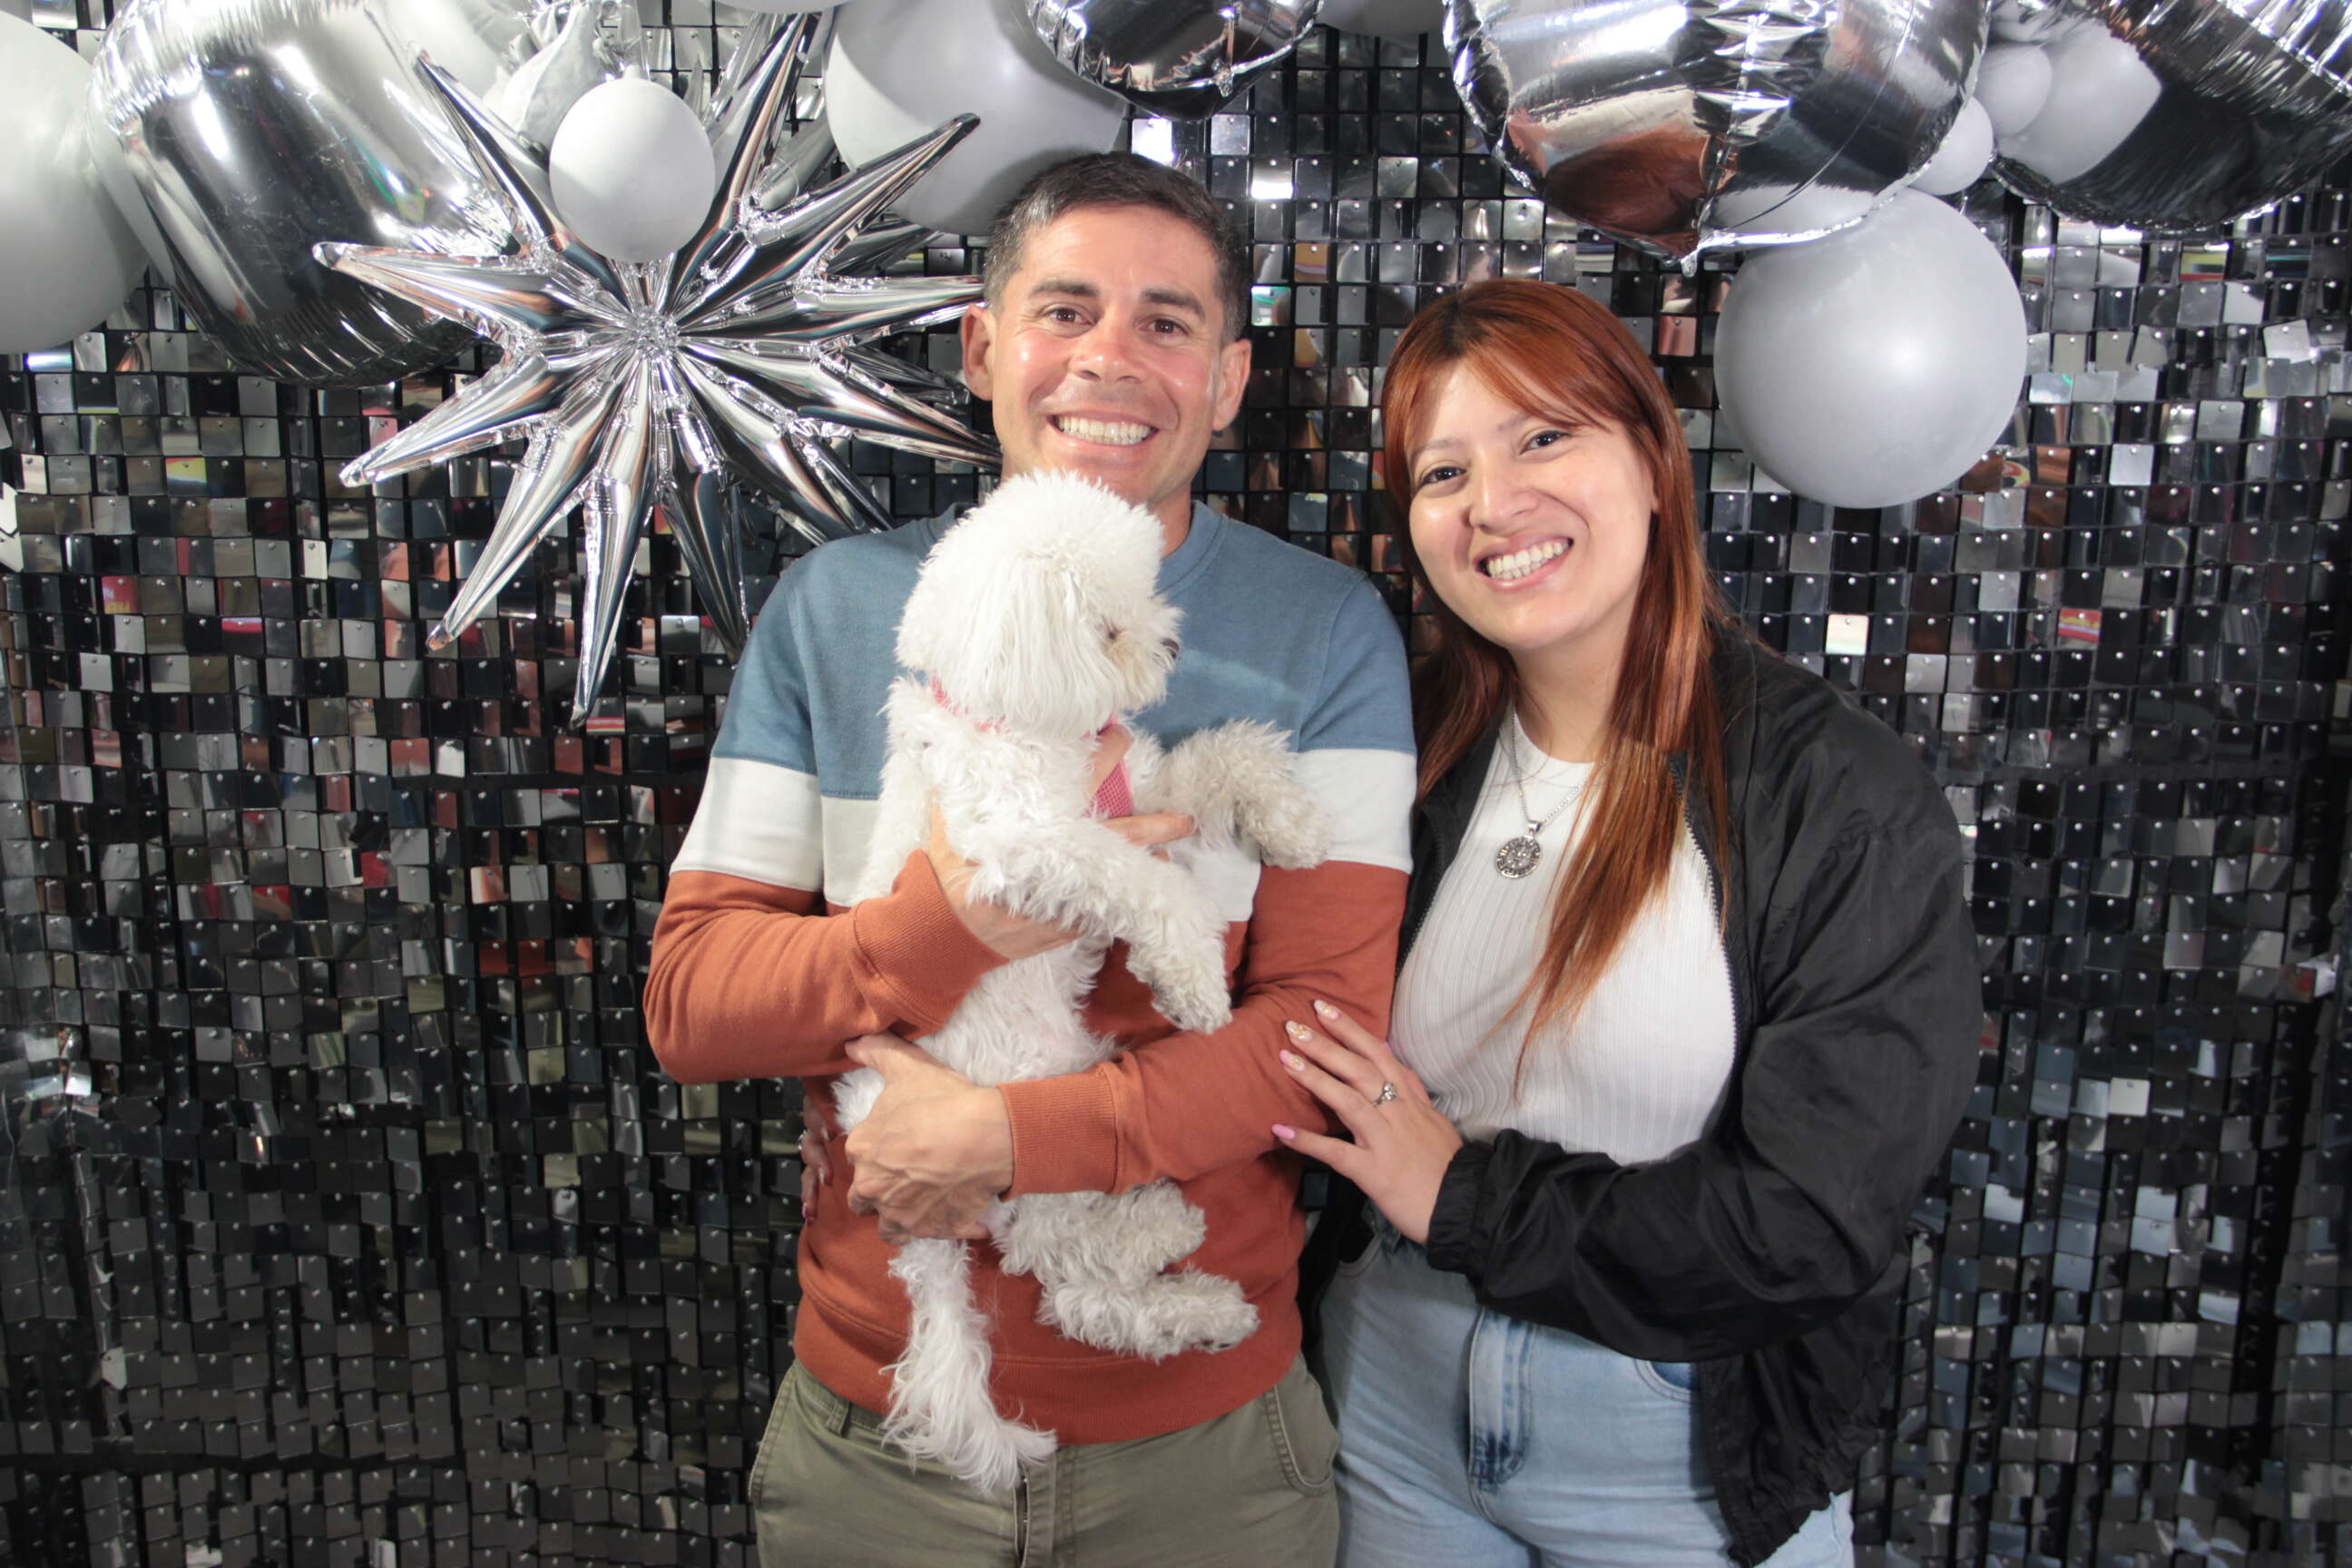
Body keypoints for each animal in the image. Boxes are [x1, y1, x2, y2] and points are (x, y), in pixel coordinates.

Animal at [828, 470, 1330, 1493]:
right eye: (1106, 628)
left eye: (1146, 595)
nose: (1172, 644)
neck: (1026, 726)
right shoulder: (1036, 846)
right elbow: (1153, 888)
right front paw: (1194, 982)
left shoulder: (1142, 796)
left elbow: (1226, 754)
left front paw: (1290, 824)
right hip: (1013, 1124)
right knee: (1055, 1255)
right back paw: (1161, 1232)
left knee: (1078, 1299)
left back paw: (1198, 1300)